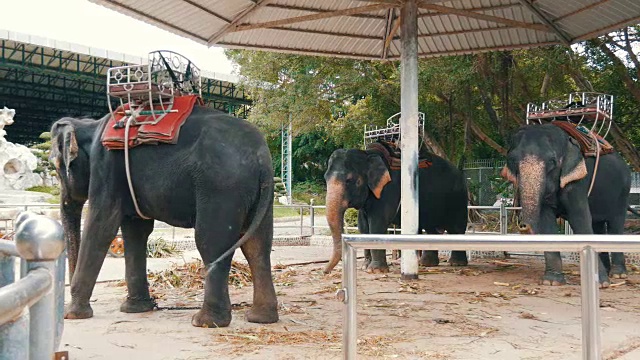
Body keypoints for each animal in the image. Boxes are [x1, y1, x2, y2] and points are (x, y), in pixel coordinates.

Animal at [48, 102, 278, 328]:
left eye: (57, 166)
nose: (67, 306)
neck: (90, 124)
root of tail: (261, 156)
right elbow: (135, 230)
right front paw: (136, 309)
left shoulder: (106, 166)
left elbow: (102, 224)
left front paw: (72, 315)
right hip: (256, 193)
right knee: (257, 245)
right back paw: (260, 318)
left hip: (220, 186)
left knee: (211, 242)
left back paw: (205, 321)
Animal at [322, 141, 468, 272]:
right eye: (325, 178)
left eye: (350, 180)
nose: (325, 271)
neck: (369, 154)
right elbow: (363, 226)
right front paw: (365, 267)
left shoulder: (389, 189)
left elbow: (377, 224)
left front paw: (375, 270)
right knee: (431, 228)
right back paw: (427, 264)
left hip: (458, 197)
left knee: (456, 228)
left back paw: (456, 264)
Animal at [500, 121, 632, 286]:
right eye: (512, 161)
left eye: (552, 161)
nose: (522, 225)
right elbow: (546, 221)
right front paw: (552, 282)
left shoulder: (577, 180)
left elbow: (579, 219)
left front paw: (600, 283)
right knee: (597, 225)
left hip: (623, 191)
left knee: (616, 223)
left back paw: (618, 275)